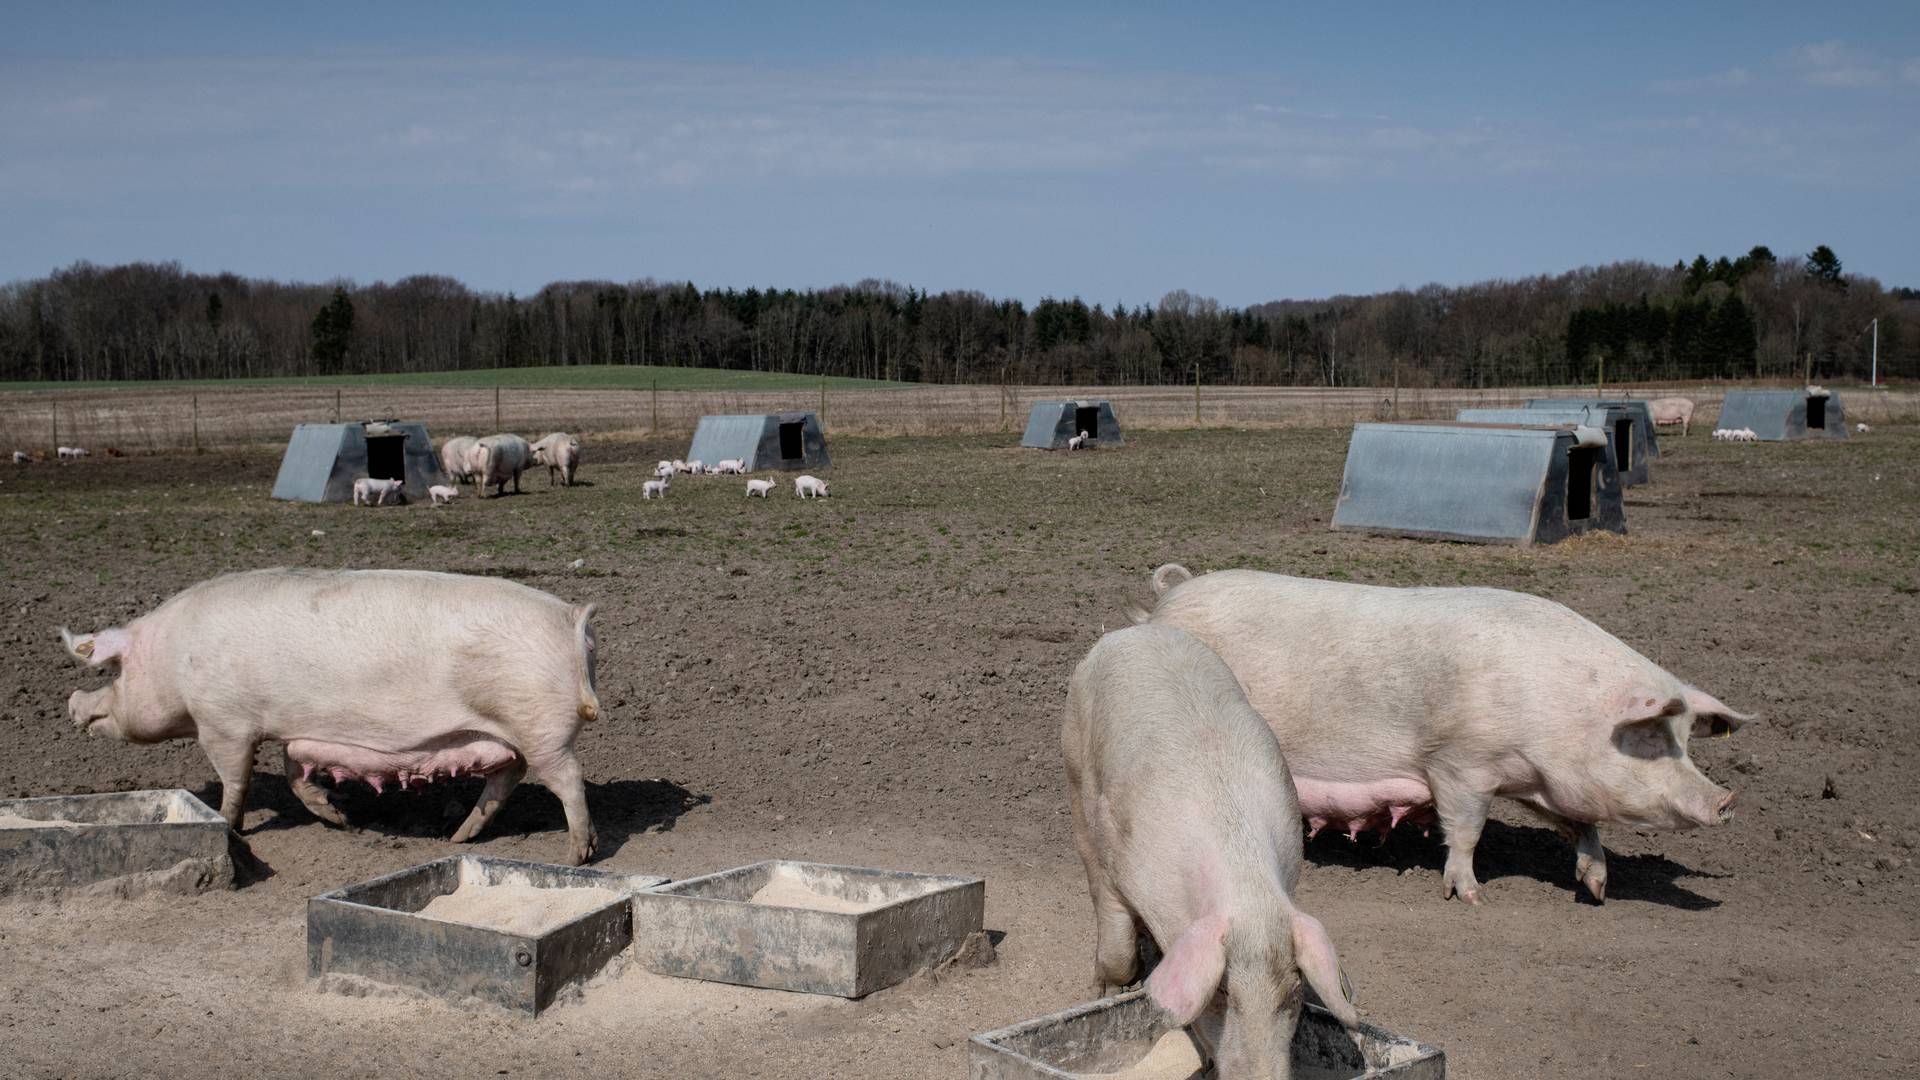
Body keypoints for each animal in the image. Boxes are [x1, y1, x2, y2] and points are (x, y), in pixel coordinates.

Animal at [60, 568, 599, 860]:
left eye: (113, 669)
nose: (72, 703)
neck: (173, 656)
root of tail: (571, 618)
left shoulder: (223, 723)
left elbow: (236, 780)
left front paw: (229, 826)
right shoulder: (299, 734)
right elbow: (295, 775)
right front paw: (341, 820)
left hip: (540, 728)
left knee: (569, 779)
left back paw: (578, 854)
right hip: (513, 738)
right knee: (506, 781)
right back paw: (458, 838)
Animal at [1067, 618, 1351, 1068]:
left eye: (1292, 994)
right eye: (1223, 990)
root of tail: (1136, 631)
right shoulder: (1117, 864)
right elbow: (1116, 945)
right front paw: (1108, 993)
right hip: (1074, 760)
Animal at [1136, 564, 1758, 899]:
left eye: (1687, 741)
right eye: (1651, 739)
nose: (1727, 799)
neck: (1560, 712)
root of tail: (1168, 600)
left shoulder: (1538, 781)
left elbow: (1581, 826)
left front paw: (1597, 887)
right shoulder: (1459, 763)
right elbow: (1465, 830)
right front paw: (1469, 895)